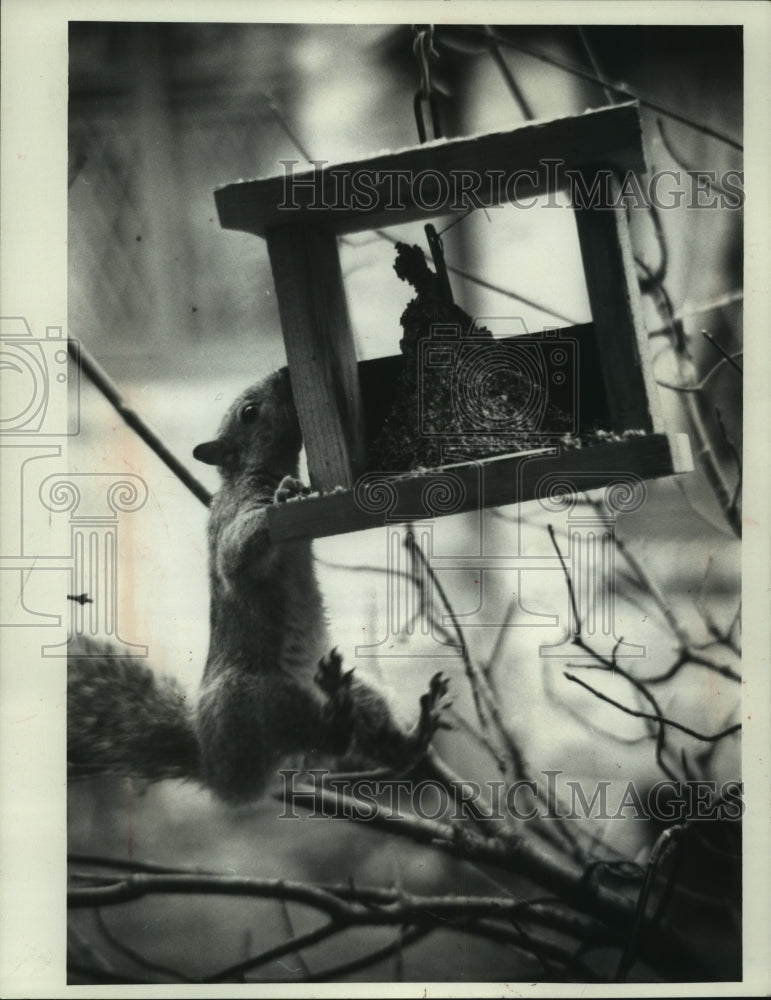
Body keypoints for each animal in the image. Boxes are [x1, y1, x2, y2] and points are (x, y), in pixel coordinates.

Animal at [68, 368, 452, 804]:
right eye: (249, 413)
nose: (285, 373)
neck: (252, 473)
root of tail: (215, 770)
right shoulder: (236, 516)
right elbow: (236, 555)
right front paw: (285, 494)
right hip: (254, 703)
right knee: (325, 738)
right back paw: (338, 719)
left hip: (362, 696)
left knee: (378, 739)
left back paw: (416, 731)